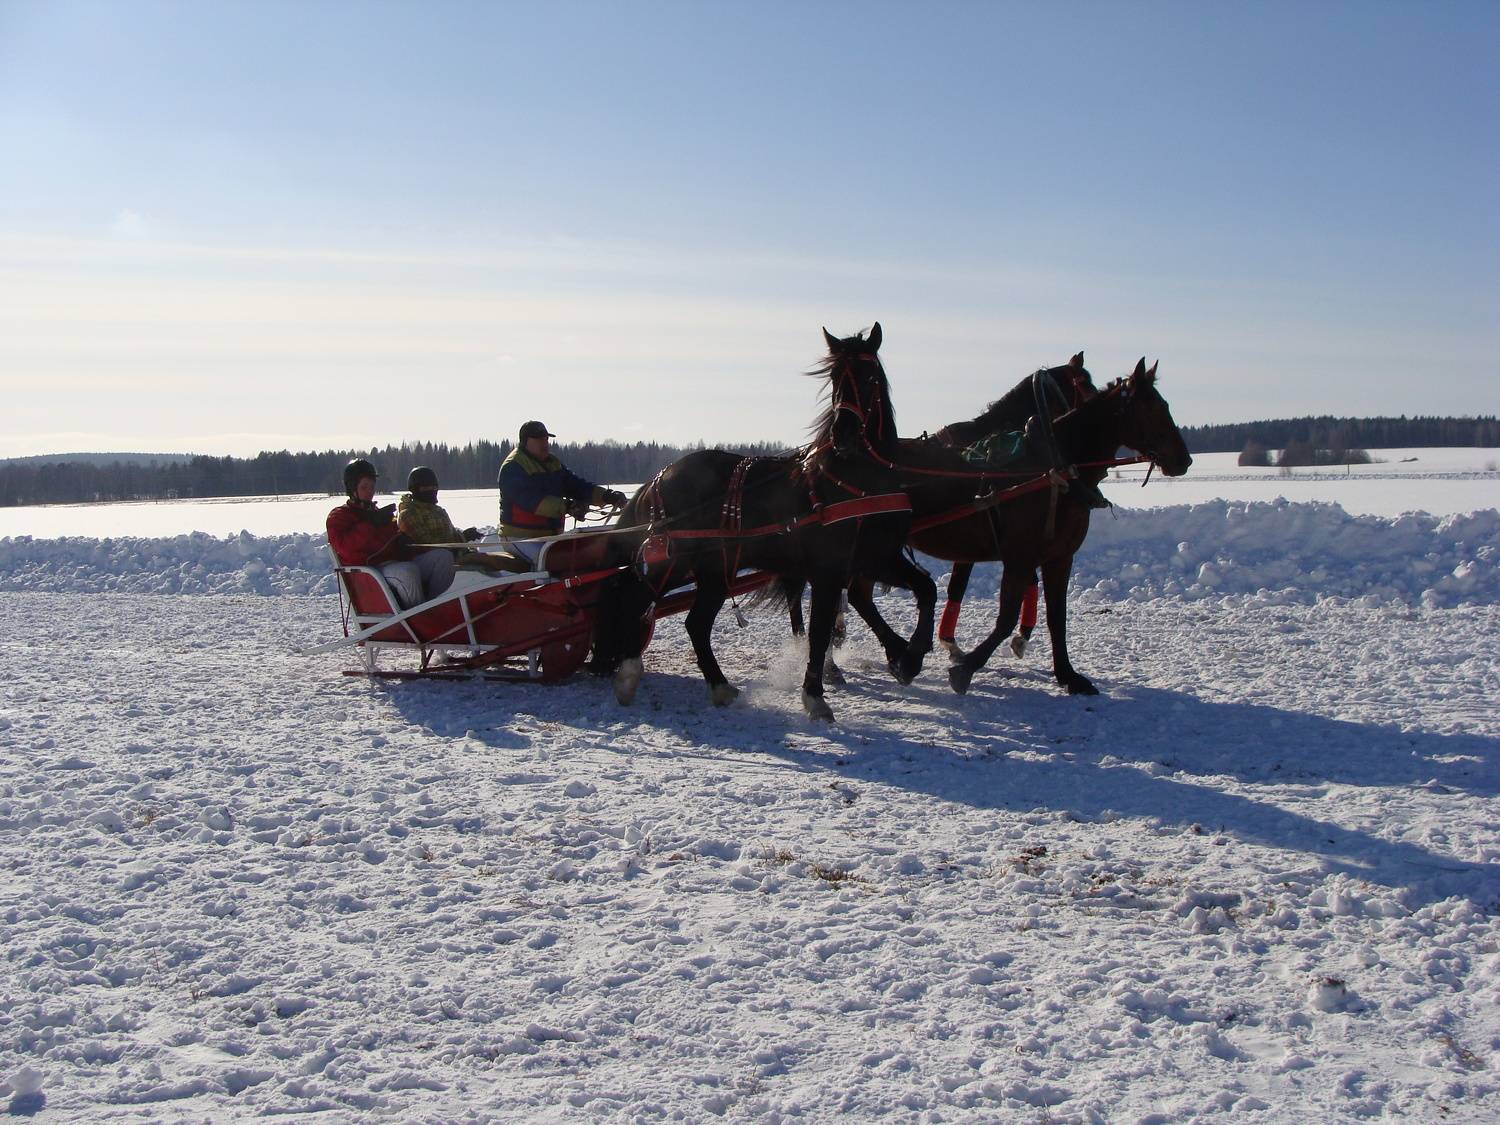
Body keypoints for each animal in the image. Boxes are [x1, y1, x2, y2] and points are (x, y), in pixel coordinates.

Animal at [590, 324, 936, 721]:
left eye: (869, 376)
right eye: (835, 377)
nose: (844, 435)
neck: (856, 481)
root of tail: (660, 476)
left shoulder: (877, 557)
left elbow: (926, 589)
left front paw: (909, 657)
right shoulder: (828, 569)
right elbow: (819, 633)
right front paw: (815, 696)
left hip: (712, 570)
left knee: (691, 621)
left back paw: (717, 687)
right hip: (676, 560)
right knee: (637, 596)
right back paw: (629, 674)